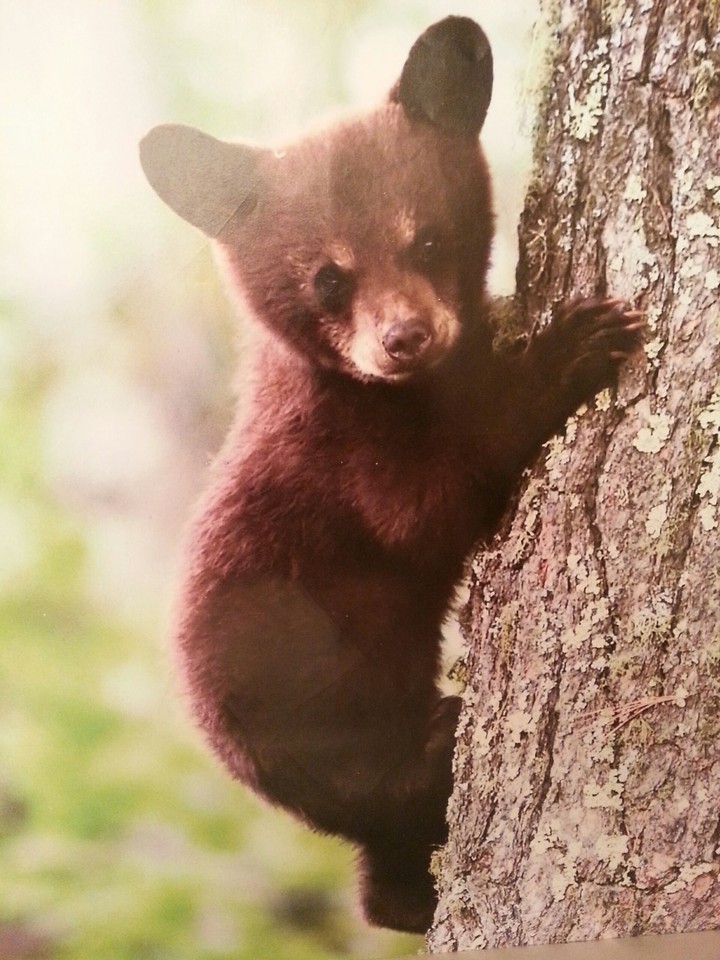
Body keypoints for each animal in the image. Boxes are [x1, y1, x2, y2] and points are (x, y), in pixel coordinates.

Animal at [140, 16, 643, 933]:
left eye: (430, 238)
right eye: (327, 277)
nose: (404, 337)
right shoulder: (345, 452)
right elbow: (429, 503)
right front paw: (572, 346)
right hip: (304, 710)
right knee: (382, 793)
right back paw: (441, 741)